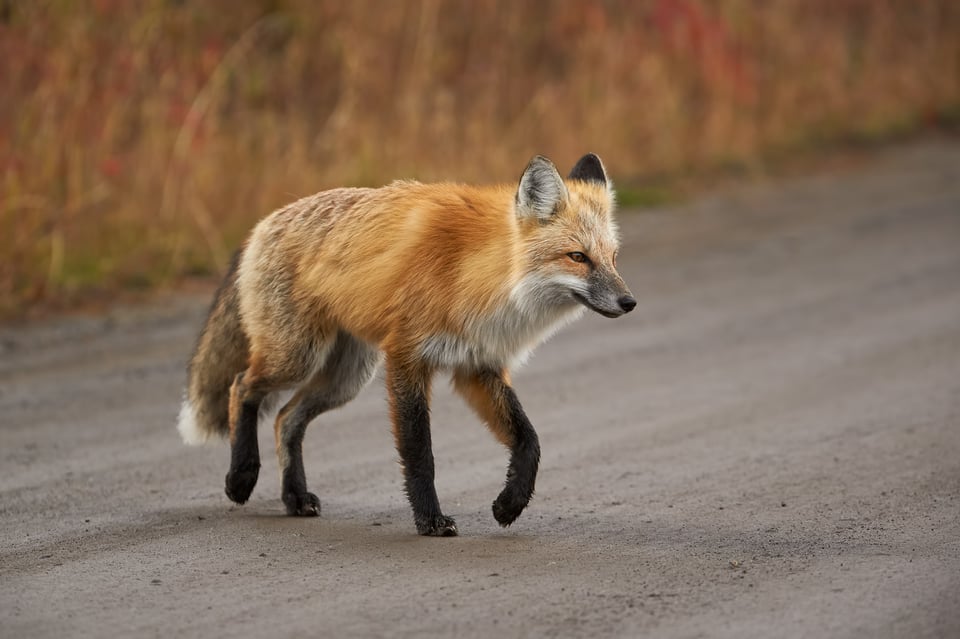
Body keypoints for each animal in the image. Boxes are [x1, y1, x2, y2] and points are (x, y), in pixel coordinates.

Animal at [176, 152, 632, 536]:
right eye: (578, 257)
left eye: (613, 258)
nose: (629, 302)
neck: (474, 275)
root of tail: (263, 224)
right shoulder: (407, 356)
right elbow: (419, 452)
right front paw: (430, 520)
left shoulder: (477, 366)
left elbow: (529, 441)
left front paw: (510, 504)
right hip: (297, 357)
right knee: (241, 387)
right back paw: (241, 477)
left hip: (345, 379)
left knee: (285, 419)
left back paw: (294, 497)